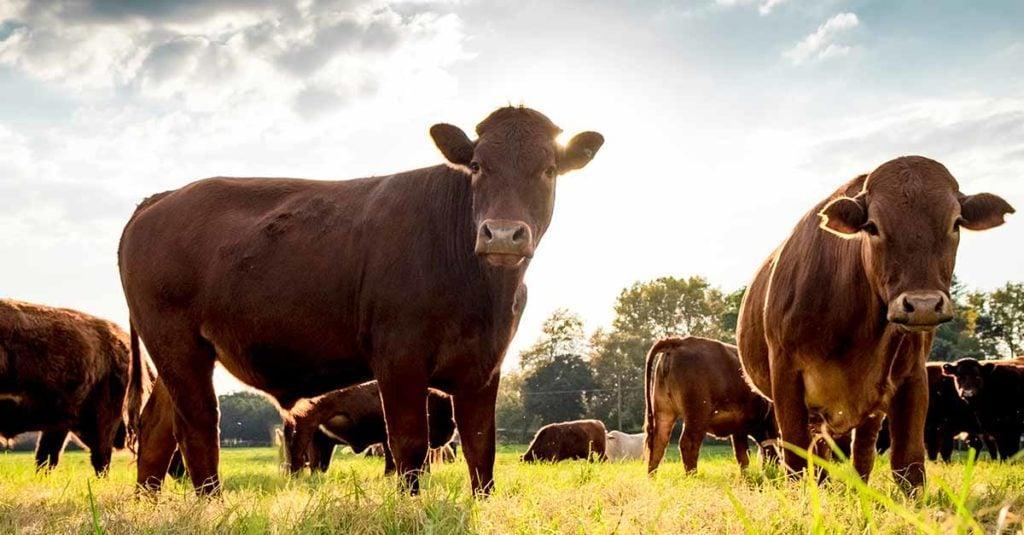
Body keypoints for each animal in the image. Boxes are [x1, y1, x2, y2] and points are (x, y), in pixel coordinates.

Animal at [643, 337, 777, 474]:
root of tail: (679, 342)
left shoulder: (739, 429)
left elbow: (743, 456)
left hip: (665, 413)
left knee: (658, 444)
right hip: (696, 417)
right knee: (688, 443)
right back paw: (693, 475)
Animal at [736, 156, 1013, 492]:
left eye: (955, 223)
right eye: (872, 226)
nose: (923, 305)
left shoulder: (911, 377)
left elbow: (908, 464)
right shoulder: (785, 376)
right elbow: (797, 460)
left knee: (861, 452)